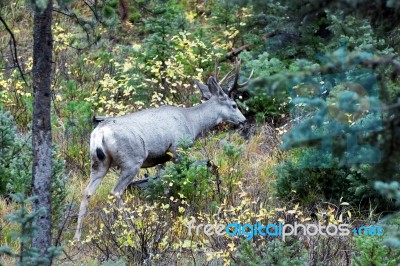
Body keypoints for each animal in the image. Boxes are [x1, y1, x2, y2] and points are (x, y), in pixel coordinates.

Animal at [73, 60, 252, 241]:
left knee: (87, 192)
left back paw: (79, 236)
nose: (243, 120)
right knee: (115, 192)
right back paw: (130, 228)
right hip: (131, 160)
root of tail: (99, 133)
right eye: (234, 105)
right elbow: (181, 180)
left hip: (99, 163)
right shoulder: (177, 149)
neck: (193, 122)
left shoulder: (162, 158)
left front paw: (164, 209)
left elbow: (164, 184)